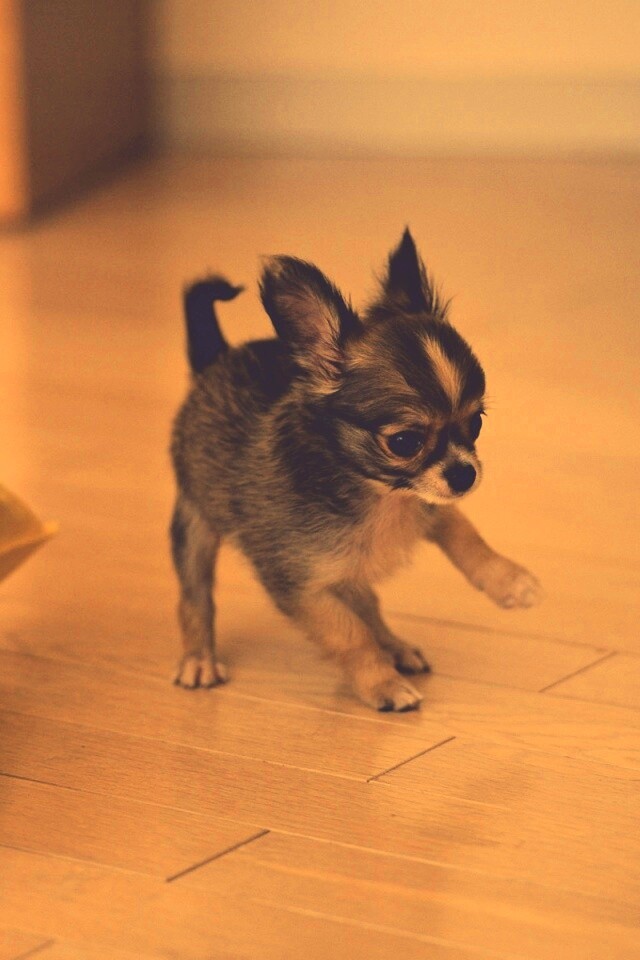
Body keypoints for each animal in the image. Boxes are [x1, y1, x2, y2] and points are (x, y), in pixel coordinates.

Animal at [170, 229, 541, 711]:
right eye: (405, 442)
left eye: (475, 423)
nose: (465, 474)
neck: (382, 494)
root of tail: (215, 361)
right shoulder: (302, 586)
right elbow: (350, 637)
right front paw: (381, 685)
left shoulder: (428, 506)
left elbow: (466, 536)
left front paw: (510, 582)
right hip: (195, 523)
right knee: (195, 596)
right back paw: (198, 658)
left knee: (368, 605)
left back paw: (397, 646)